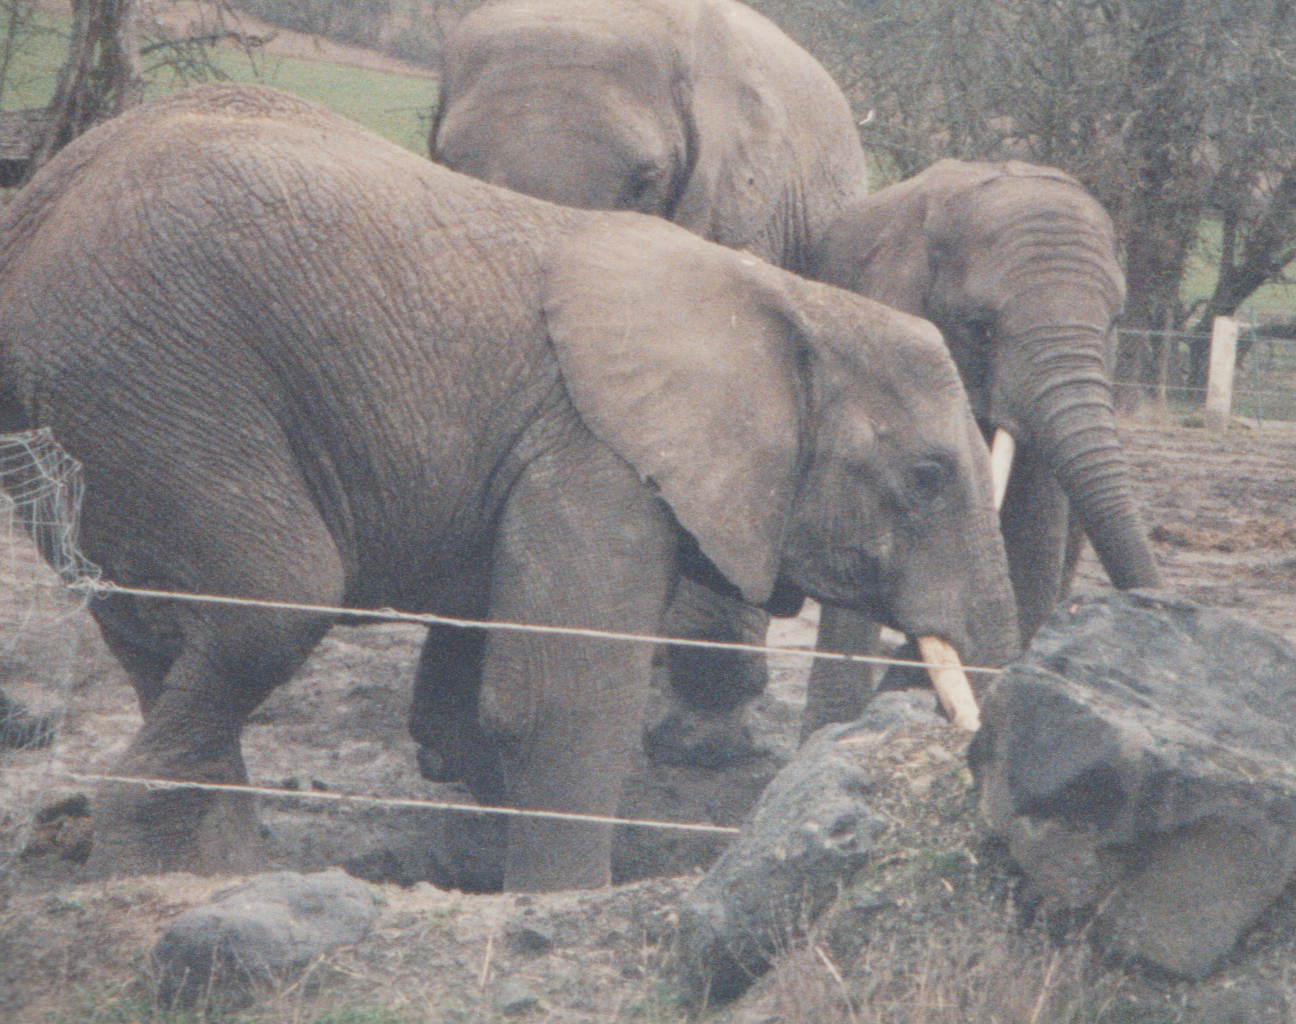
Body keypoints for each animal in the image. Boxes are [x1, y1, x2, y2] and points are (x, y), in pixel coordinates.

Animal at [0, 84, 1021, 891]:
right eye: (926, 479)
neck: (789, 305)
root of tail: (39, 211)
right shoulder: (595, 459)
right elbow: (553, 702)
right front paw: (561, 894)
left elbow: (469, 705)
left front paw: (485, 863)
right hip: (157, 382)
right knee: (273, 606)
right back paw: (146, 866)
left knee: (156, 631)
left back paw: (213, 868)